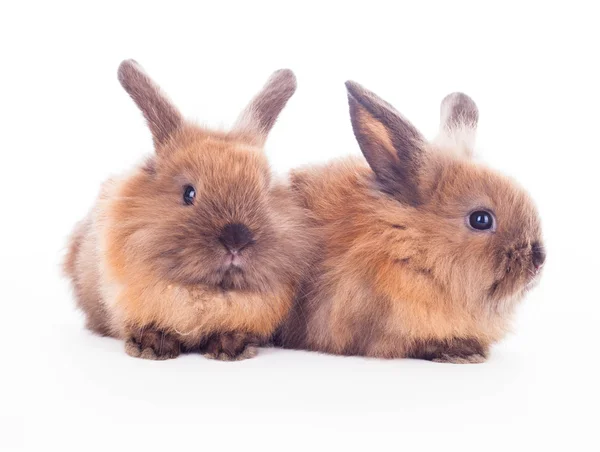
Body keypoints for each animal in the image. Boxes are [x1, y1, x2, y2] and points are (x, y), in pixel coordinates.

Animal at [62, 61, 312, 362]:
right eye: (188, 193)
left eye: (264, 192)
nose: (236, 240)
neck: (203, 294)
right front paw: (152, 347)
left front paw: (231, 348)